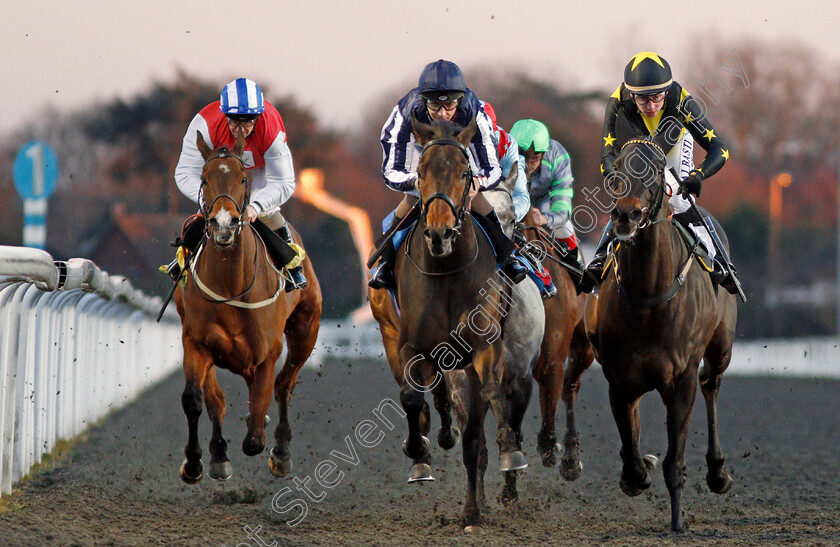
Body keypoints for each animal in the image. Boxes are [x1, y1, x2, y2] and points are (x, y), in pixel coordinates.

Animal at [174, 131, 322, 486]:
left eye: (243, 177)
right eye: (204, 178)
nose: (223, 223)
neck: (231, 286)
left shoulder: (266, 353)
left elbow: (255, 434)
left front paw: (267, 437)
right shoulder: (196, 343)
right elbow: (196, 400)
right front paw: (196, 462)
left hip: (305, 331)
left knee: (284, 386)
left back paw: (281, 452)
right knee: (217, 399)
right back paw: (219, 455)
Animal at [370, 117, 540, 532]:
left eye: (465, 172)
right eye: (419, 173)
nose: (439, 232)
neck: (446, 272)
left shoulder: (488, 350)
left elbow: (491, 403)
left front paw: (509, 455)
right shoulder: (412, 347)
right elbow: (411, 398)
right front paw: (418, 455)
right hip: (392, 334)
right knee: (424, 398)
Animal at [584, 139, 736, 532]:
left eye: (653, 172)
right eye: (617, 170)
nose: (625, 215)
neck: (649, 297)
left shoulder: (681, 379)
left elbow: (674, 461)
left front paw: (678, 522)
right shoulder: (619, 378)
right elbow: (632, 451)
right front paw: (637, 473)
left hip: (721, 347)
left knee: (712, 383)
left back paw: (718, 472)